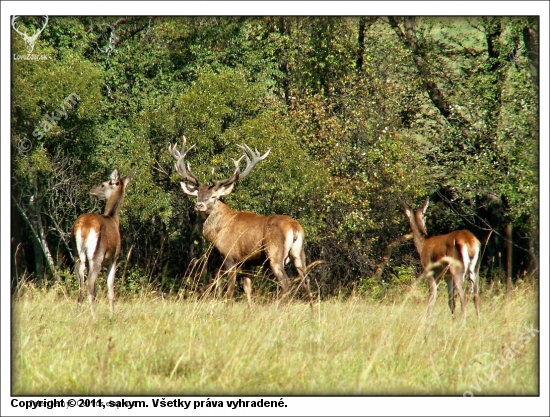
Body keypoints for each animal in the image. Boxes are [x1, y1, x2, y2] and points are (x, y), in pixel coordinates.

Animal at [73, 167, 137, 314]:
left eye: (103, 184)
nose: (92, 190)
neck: (113, 219)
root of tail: (84, 226)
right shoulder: (115, 258)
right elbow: (110, 289)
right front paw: (112, 314)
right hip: (97, 256)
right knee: (90, 282)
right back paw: (94, 315)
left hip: (78, 254)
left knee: (80, 279)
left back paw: (79, 312)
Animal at [170, 136, 312, 306]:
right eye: (197, 195)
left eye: (214, 196)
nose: (199, 205)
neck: (218, 232)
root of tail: (294, 227)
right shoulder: (247, 262)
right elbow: (247, 289)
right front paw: (249, 308)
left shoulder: (230, 257)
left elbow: (229, 290)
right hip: (299, 253)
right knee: (306, 280)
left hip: (275, 253)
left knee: (286, 282)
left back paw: (276, 306)